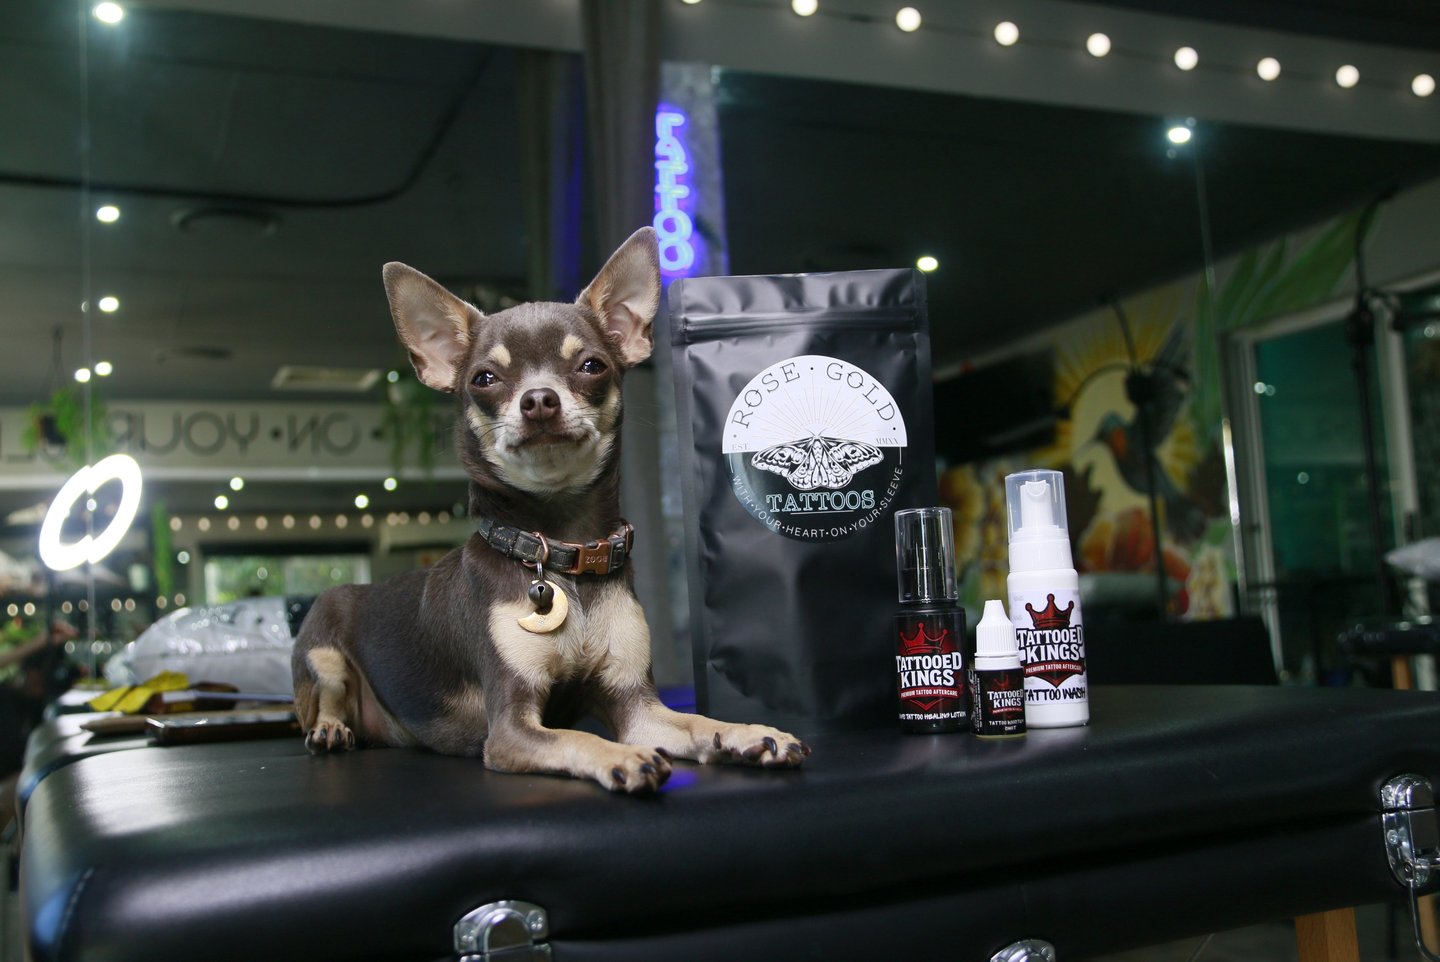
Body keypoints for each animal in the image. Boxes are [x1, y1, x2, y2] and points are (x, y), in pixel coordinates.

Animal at [291, 227, 808, 793]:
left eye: (591, 366)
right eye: (485, 379)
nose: (539, 399)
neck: (564, 548)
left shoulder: (637, 706)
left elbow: (695, 722)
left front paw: (746, 732)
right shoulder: (510, 727)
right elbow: (577, 737)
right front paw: (622, 757)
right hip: (322, 650)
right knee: (325, 702)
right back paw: (331, 730)